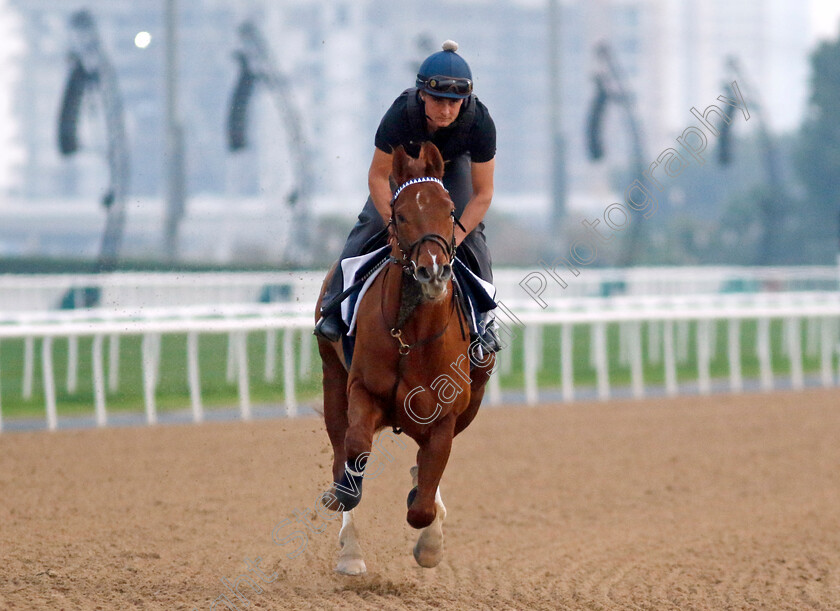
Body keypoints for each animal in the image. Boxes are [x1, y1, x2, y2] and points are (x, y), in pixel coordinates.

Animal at [318, 142, 496, 572]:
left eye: (449, 210)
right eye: (400, 214)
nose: (433, 272)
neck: (411, 335)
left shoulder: (446, 416)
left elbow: (423, 503)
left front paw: (430, 542)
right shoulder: (363, 391)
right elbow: (355, 448)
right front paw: (347, 504)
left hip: (473, 399)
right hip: (332, 379)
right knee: (340, 448)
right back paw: (349, 548)